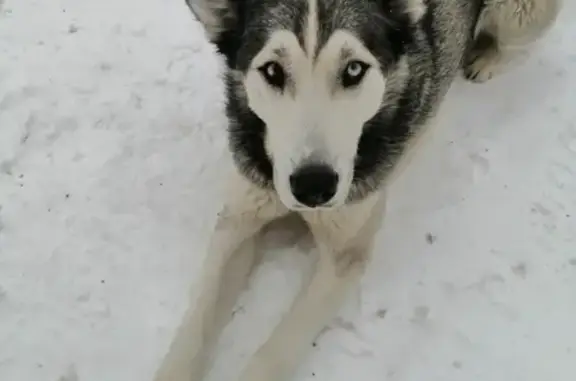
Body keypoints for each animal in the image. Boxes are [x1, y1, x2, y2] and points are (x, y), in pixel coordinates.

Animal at [155, 0, 560, 380]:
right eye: (272, 70)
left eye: (353, 70)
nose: (314, 186)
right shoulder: (239, 219)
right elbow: (195, 326)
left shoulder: (346, 252)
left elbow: (276, 351)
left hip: (518, 16)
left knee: (516, 43)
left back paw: (484, 58)